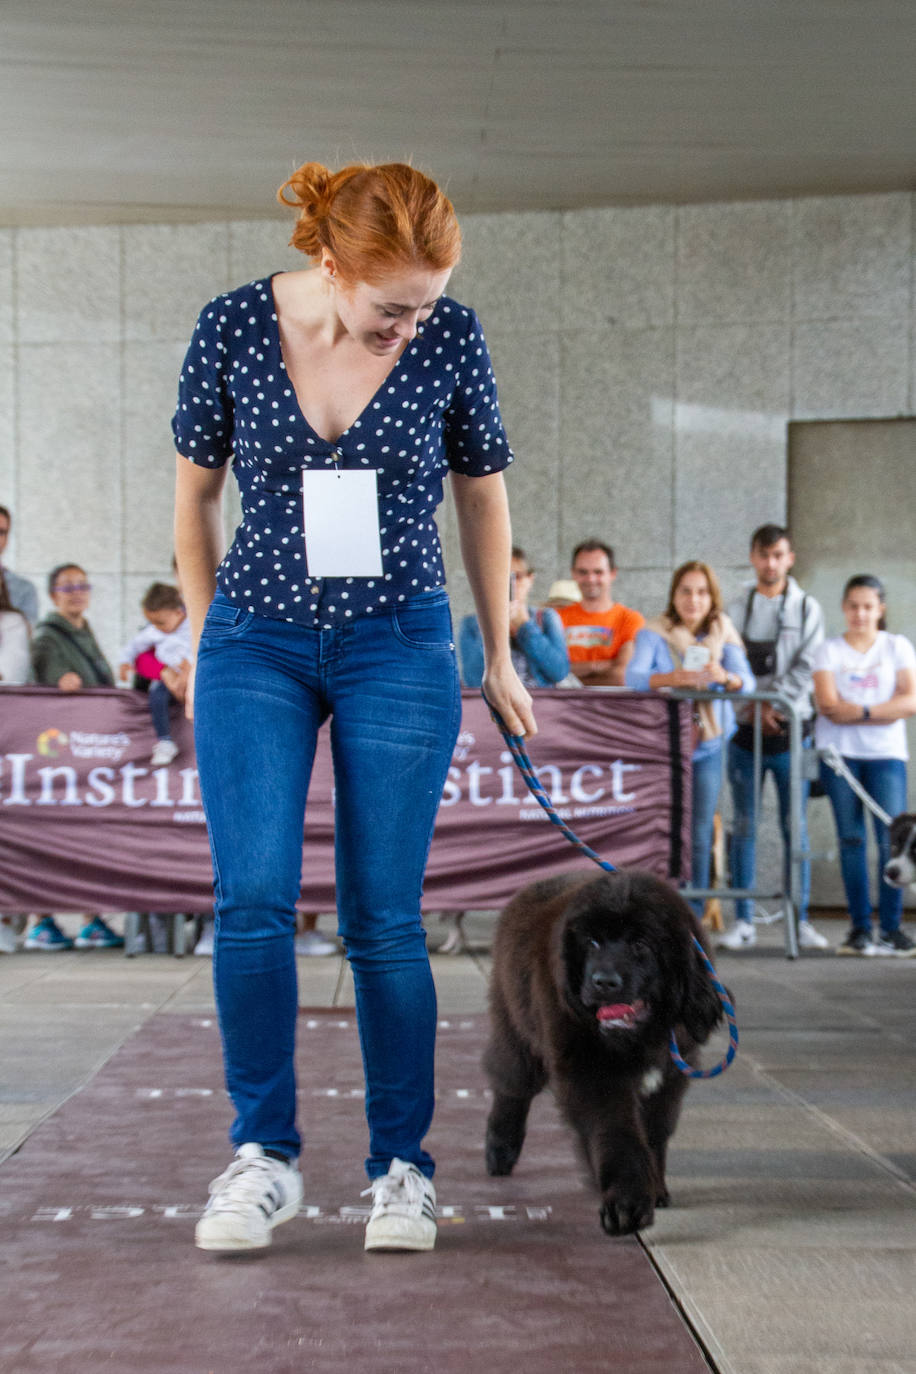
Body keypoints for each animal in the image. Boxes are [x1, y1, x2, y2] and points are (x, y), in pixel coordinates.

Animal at [483, 873, 725, 1242]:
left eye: (641, 943)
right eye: (592, 943)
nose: (603, 982)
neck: (641, 1038)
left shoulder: (671, 1075)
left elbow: (654, 1134)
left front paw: (655, 1188)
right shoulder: (592, 1074)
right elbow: (616, 1136)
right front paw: (627, 1206)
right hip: (515, 1026)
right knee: (511, 1086)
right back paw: (500, 1149)